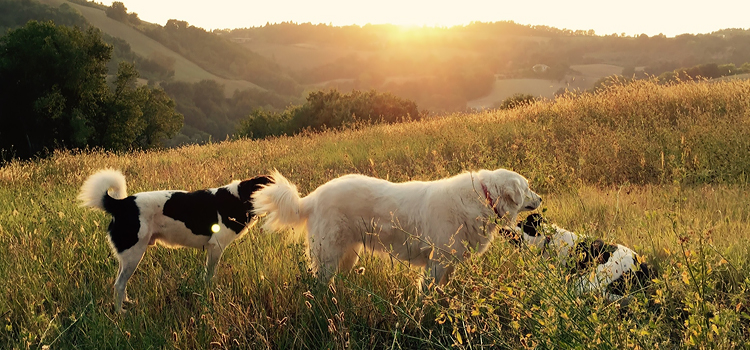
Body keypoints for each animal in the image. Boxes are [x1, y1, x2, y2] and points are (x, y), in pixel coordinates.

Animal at [256, 168, 544, 286]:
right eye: (528, 187)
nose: (541, 199)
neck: (482, 198)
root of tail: (313, 197)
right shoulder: (437, 262)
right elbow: (428, 293)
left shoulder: (449, 264)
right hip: (329, 255)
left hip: (347, 254)